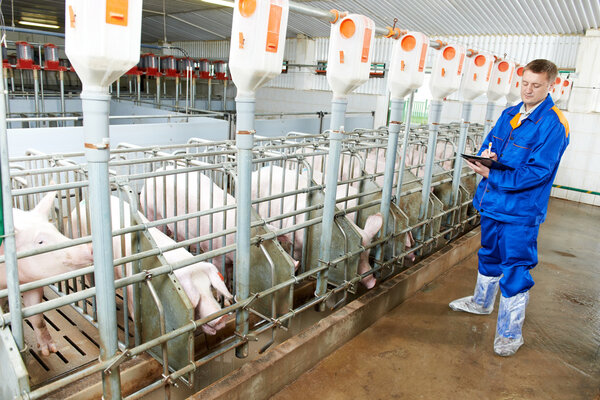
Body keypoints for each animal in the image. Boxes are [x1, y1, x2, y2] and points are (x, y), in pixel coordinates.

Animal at [0, 191, 94, 356]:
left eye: (56, 230)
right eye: (40, 242)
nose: (90, 248)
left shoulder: (33, 282)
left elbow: (37, 317)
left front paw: (49, 351)